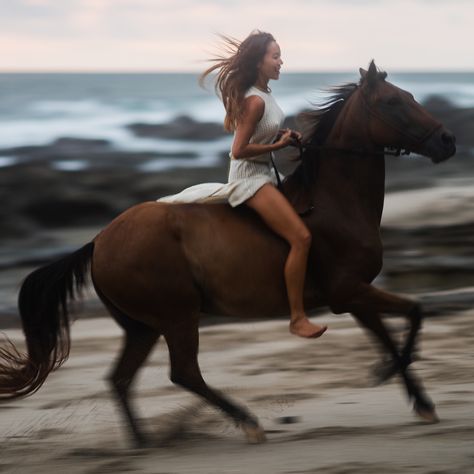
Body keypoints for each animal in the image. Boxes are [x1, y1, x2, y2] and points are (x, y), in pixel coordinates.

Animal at [0, 62, 456, 448]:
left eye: (409, 94)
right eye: (393, 102)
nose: (448, 141)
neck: (334, 203)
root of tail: (98, 241)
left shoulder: (355, 295)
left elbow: (393, 331)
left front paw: (417, 397)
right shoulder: (349, 291)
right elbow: (414, 313)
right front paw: (391, 376)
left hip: (142, 327)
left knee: (121, 379)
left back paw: (145, 443)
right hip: (177, 316)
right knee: (183, 372)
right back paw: (247, 423)